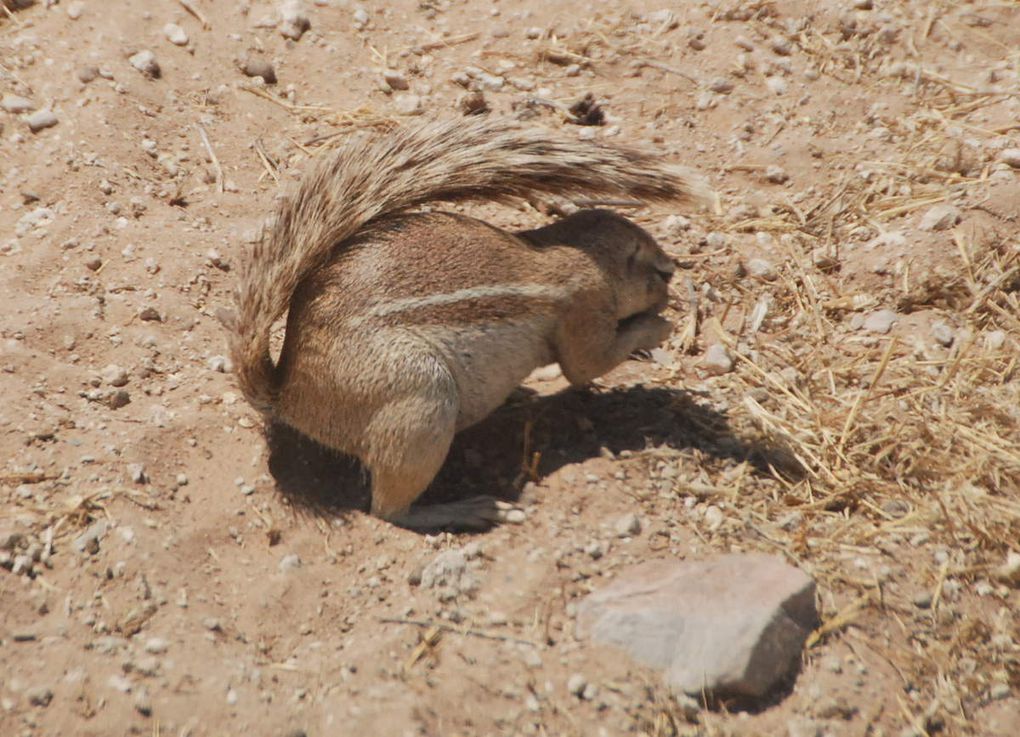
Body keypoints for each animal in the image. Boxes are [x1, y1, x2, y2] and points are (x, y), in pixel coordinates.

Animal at [226, 116, 705, 530]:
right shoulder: (584, 309)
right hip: (421, 399)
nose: (673, 275)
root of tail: (288, 394)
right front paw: (660, 326)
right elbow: (587, 366)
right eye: (655, 273)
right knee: (388, 511)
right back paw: (471, 509)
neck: (576, 251)